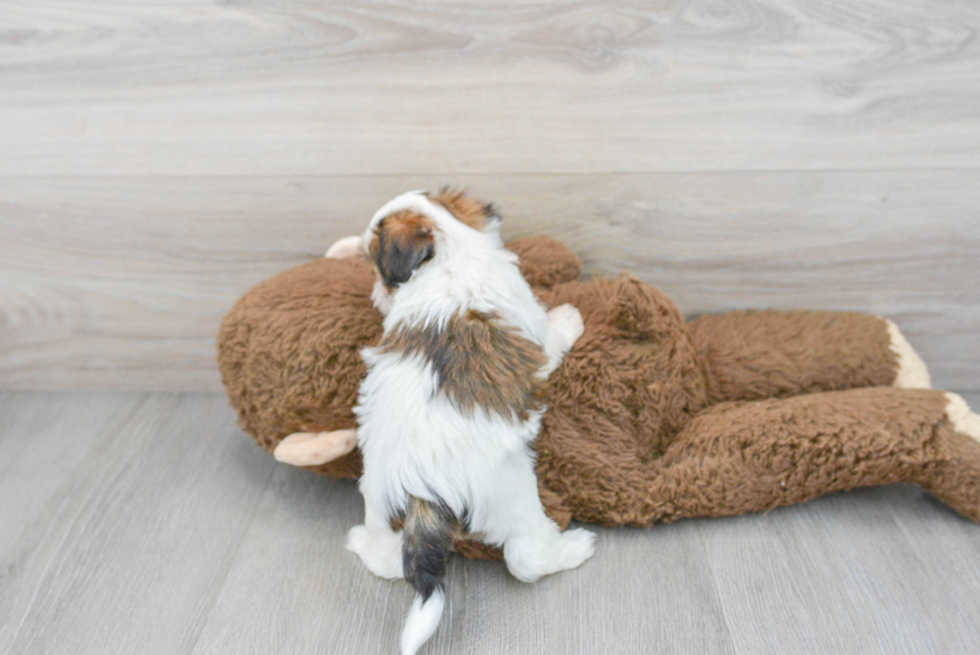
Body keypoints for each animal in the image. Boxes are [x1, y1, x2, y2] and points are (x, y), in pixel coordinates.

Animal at [350, 190, 596, 655]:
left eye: (377, 267)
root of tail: (421, 489)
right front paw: (570, 318)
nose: (374, 293)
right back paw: (573, 548)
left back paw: (362, 543)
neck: (452, 253)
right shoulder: (534, 327)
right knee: (525, 558)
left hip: (377, 494)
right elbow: (552, 338)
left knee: (387, 556)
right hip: (510, 494)